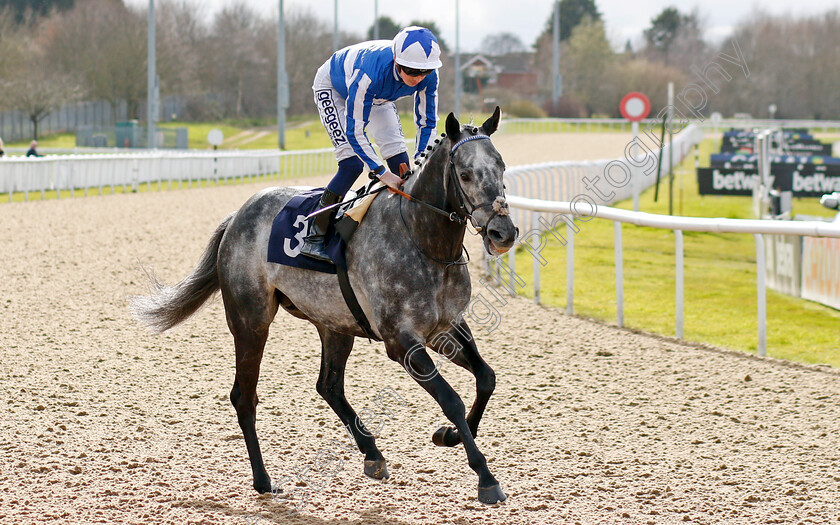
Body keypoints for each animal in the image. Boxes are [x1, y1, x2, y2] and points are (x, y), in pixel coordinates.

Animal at [131, 106, 520, 504]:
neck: (423, 239)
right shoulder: (402, 341)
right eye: (465, 174)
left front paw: (450, 435)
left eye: (502, 166)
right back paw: (263, 480)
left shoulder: (445, 326)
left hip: (334, 323)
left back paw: (372, 455)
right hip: (250, 320)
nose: (503, 233)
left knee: (329, 385)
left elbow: (486, 378)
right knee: (244, 396)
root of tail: (238, 217)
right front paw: (486, 477)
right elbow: (451, 399)